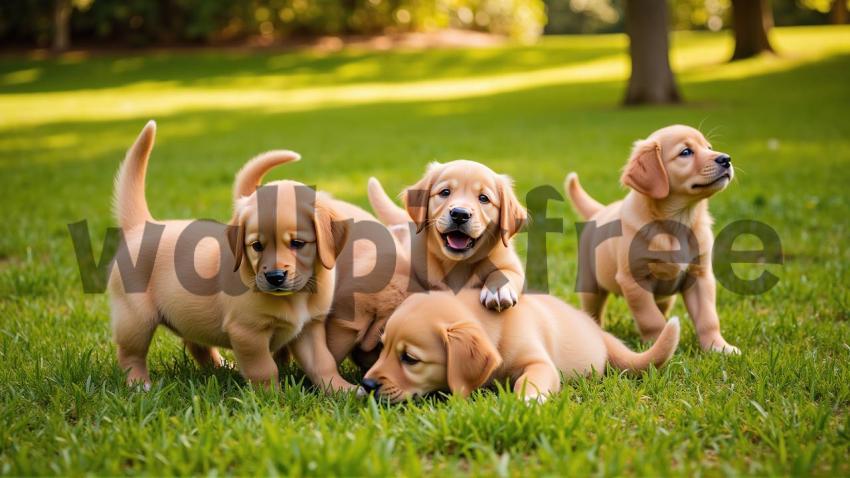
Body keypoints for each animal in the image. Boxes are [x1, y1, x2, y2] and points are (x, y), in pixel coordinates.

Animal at [362, 288, 680, 404]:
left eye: (409, 358)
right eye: (382, 348)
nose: (366, 384)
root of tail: (602, 335)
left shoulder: (539, 362)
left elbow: (529, 379)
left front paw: (527, 401)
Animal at [368, 159, 528, 312]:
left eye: (484, 198)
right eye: (445, 192)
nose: (460, 214)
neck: (456, 263)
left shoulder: (511, 263)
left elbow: (506, 272)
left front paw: (499, 290)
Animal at [568, 125, 740, 352]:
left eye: (709, 147)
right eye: (686, 152)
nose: (726, 159)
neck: (677, 221)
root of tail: (600, 210)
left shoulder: (700, 276)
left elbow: (708, 319)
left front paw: (719, 347)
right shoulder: (634, 280)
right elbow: (650, 319)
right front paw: (661, 345)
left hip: (665, 298)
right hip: (590, 285)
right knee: (594, 311)